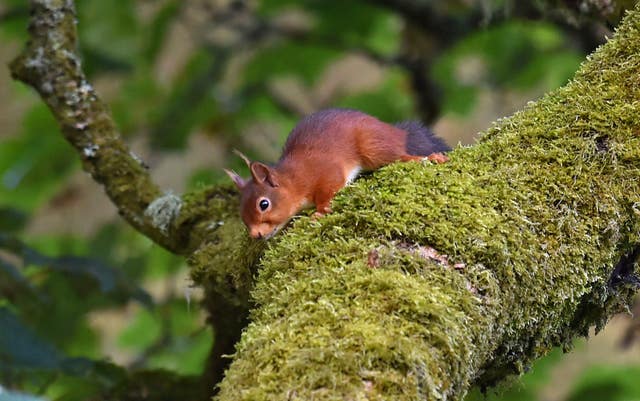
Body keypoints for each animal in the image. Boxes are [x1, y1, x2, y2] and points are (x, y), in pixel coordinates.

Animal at [225, 108, 450, 238]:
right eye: (241, 212)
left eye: (264, 204)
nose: (255, 235)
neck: (294, 180)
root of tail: (397, 133)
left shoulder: (326, 172)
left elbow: (328, 191)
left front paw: (320, 211)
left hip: (373, 147)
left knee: (400, 156)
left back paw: (429, 158)